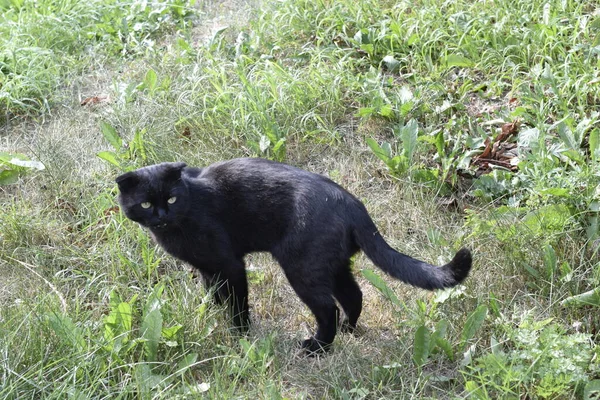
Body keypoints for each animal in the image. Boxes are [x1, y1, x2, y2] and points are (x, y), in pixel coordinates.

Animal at [117, 159, 472, 354]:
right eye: (146, 203)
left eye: (172, 199)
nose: (161, 215)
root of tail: (352, 203)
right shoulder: (207, 267)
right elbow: (214, 292)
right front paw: (213, 311)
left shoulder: (230, 264)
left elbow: (238, 303)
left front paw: (240, 334)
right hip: (333, 264)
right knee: (354, 295)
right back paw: (349, 331)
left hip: (302, 267)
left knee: (328, 308)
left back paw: (317, 347)